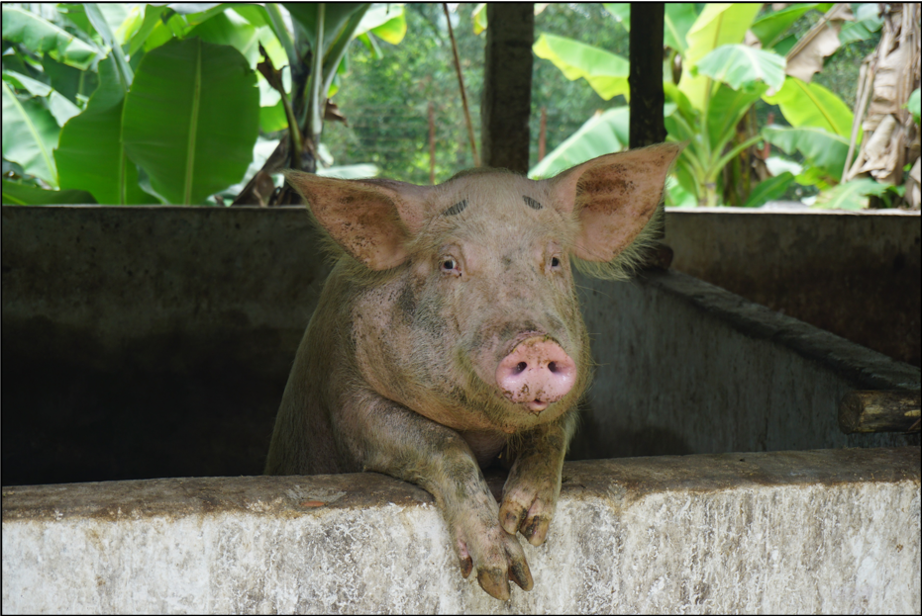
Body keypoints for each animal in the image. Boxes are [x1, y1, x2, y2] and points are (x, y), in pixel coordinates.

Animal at [266, 143, 684, 596]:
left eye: (555, 260)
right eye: (449, 263)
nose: (535, 344)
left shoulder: (571, 401)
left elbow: (551, 432)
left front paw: (526, 523)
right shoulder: (347, 399)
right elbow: (440, 442)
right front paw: (505, 578)